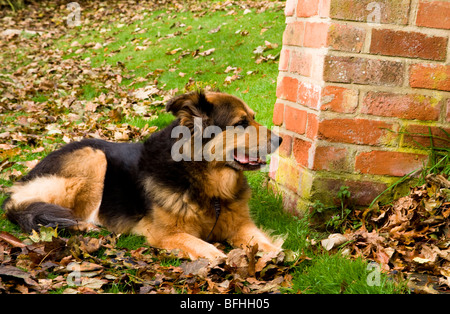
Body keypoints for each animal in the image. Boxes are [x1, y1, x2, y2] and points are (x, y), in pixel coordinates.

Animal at [3, 91, 284, 260]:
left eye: (253, 118)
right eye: (241, 123)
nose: (281, 140)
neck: (206, 183)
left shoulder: (240, 225)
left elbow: (263, 242)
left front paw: (276, 253)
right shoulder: (166, 234)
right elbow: (206, 248)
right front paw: (222, 258)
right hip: (94, 157)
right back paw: (85, 226)